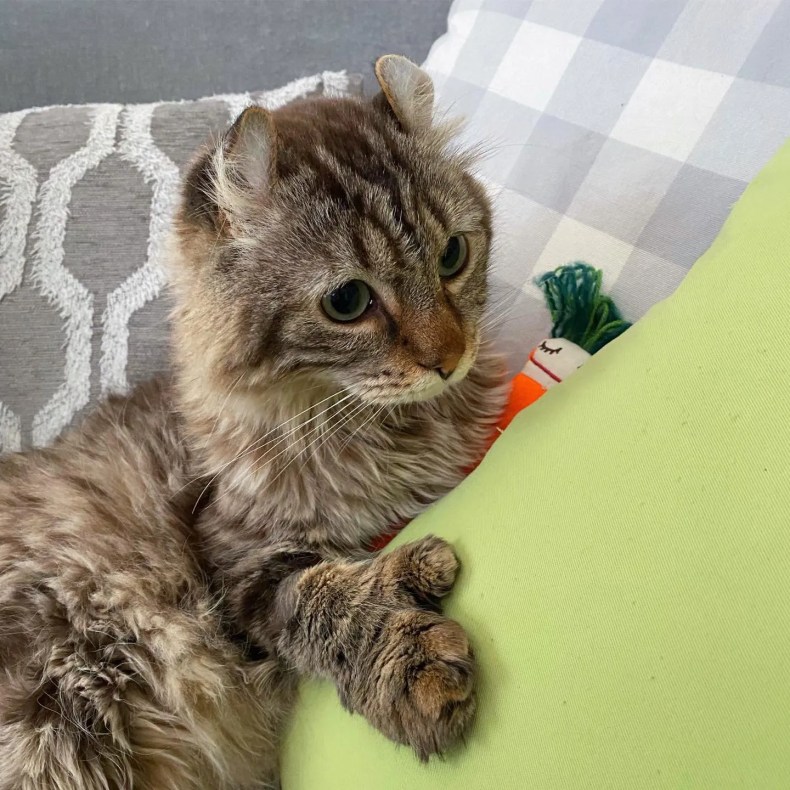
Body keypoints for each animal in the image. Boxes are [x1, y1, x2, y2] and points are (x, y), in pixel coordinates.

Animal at [0, 52, 508, 788]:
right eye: (348, 301)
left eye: (452, 257)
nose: (449, 357)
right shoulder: (233, 564)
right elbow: (322, 599)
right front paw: (408, 656)